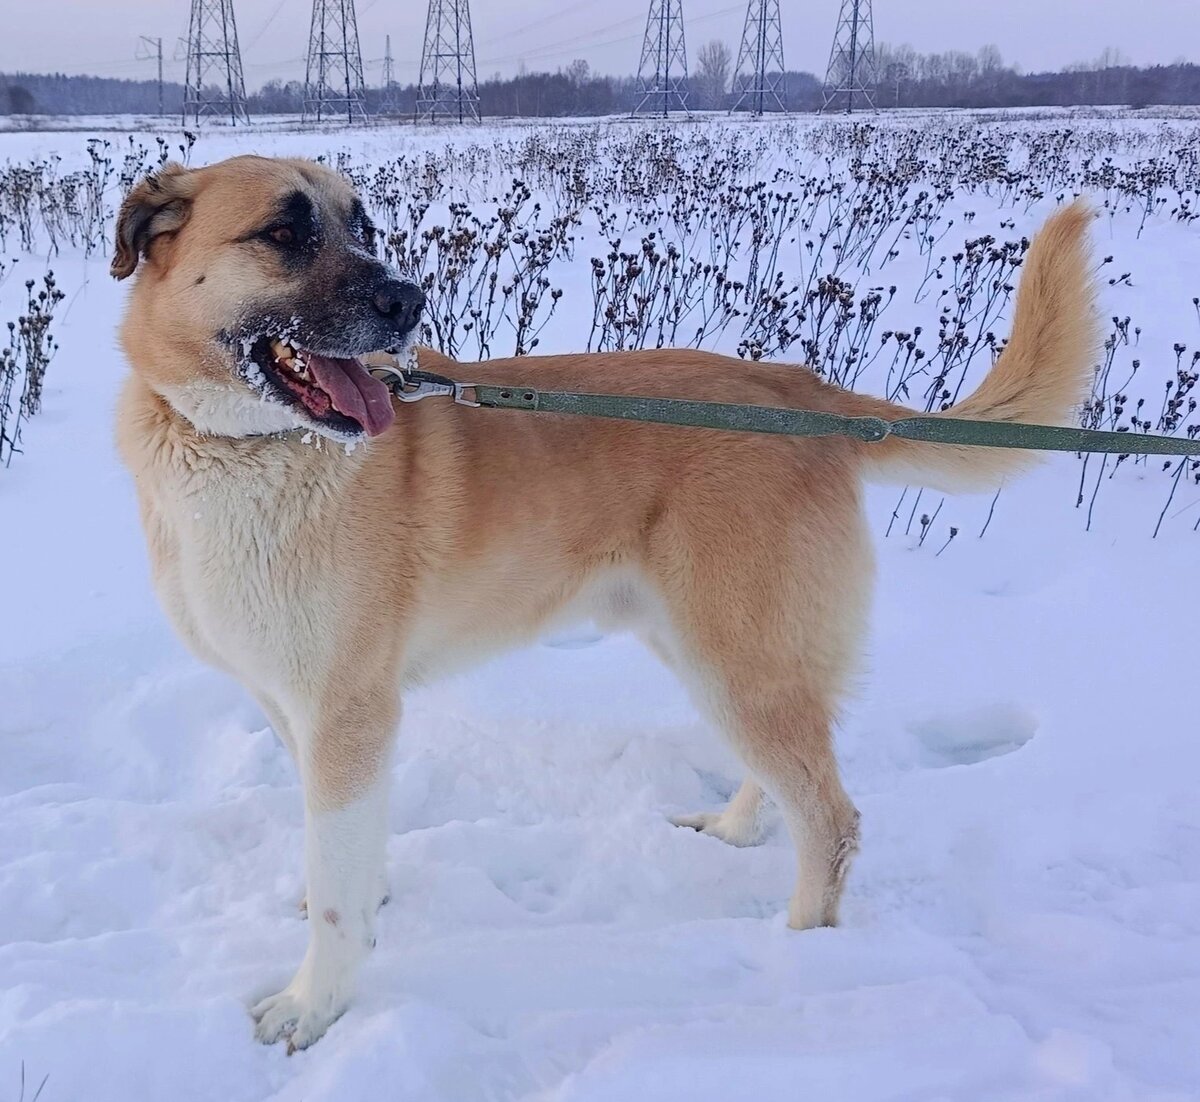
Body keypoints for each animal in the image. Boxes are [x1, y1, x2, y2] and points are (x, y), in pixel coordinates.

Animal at [112, 157, 1099, 1051]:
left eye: (364, 227)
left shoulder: (348, 712)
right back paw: (734, 829)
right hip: (718, 651)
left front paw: (314, 1006)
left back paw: (798, 954)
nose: (408, 300)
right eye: (284, 232)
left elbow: (337, 900)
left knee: (833, 818)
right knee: (791, 776)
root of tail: (797, 389)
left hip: (734, 656)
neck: (243, 447)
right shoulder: (292, 708)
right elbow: (338, 858)